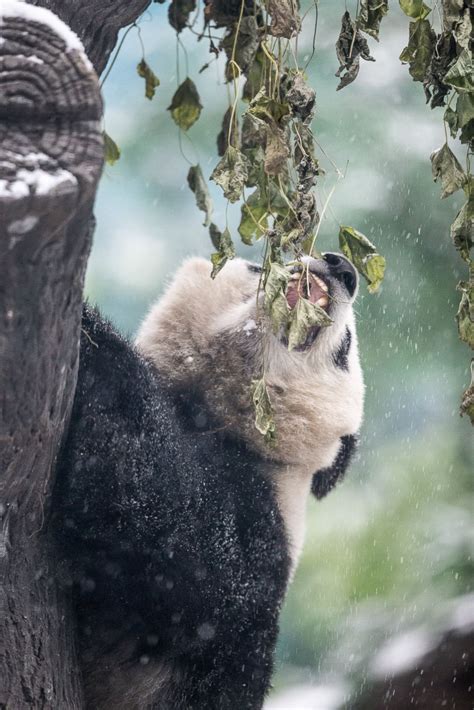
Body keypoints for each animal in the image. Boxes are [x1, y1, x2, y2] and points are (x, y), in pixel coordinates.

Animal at [51, 253, 364, 708]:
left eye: (344, 349)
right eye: (256, 266)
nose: (341, 266)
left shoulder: (259, 525)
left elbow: (156, 508)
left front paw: (88, 330)